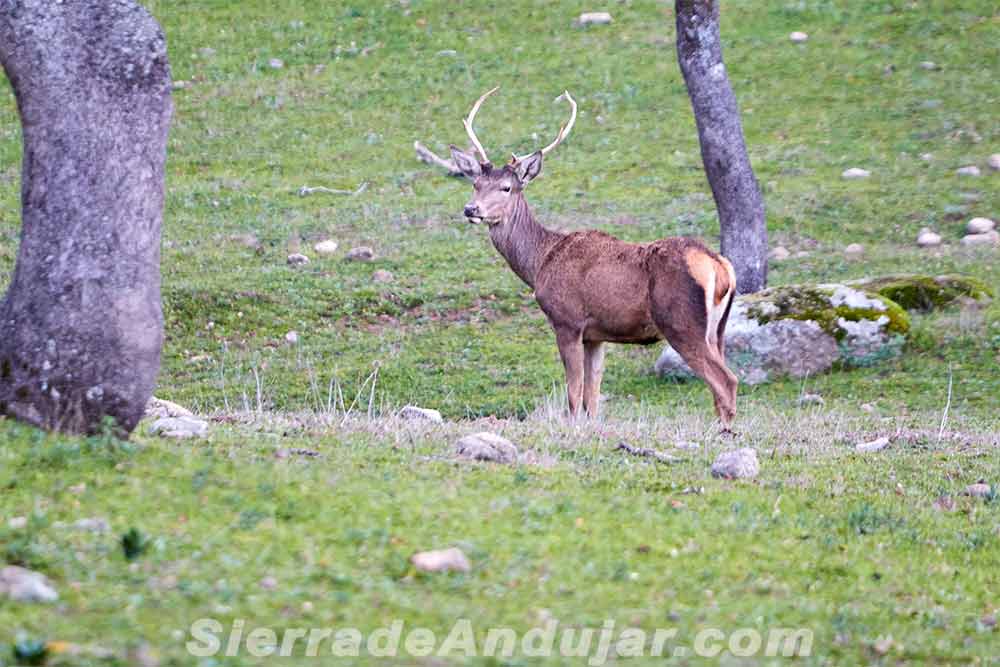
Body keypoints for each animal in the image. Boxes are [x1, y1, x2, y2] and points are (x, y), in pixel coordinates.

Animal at [447, 87, 739, 429]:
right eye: (475, 184)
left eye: (507, 188)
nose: (471, 209)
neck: (539, 262)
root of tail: (719, 266)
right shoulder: (596, 336)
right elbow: (592, 398)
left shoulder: (567, 321)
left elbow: (574, 395)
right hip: (718, 329)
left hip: (681, 322)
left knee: (726, 380)